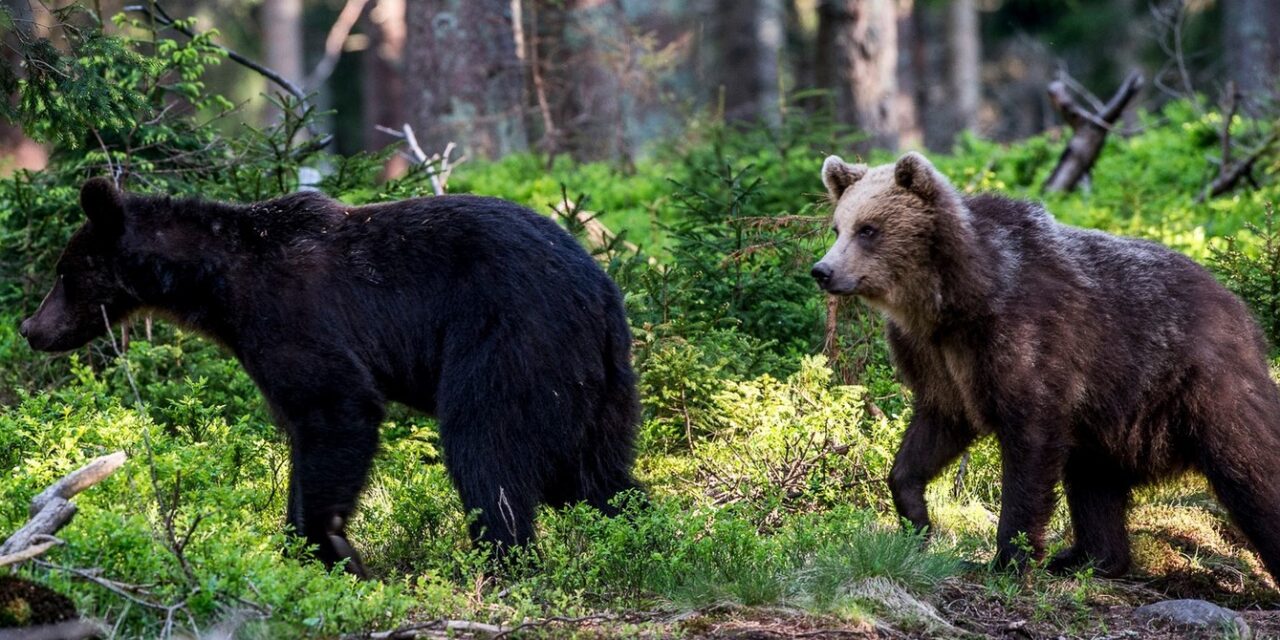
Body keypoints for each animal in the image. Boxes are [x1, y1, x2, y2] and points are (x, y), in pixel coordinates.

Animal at [20, 177, 640, 578]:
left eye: (64, 273)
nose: (31, 328)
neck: (216, 283)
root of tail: (601, 290)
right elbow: (305, 432)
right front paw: (306, 546)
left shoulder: (291, 319)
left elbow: (336, 407)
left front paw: (332, 546)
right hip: (592, 380)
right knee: (590, 470)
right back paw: (635, 527)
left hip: (510, 339)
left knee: (488, 447)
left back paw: (500, 561)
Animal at [814, 151, 1280, 581]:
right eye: (838, 227)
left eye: (869, 229)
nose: (823, 270)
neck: (954, 300)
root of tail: (1243, 314)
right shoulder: (938, 359)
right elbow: (935, 428)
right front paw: (917, 520)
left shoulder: (1026, 339)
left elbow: (1029, 446)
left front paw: (1008, 557)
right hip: (1110, 421)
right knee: (1094, 483)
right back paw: (1085, 558)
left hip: (1197, 386)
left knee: (1251, 471)